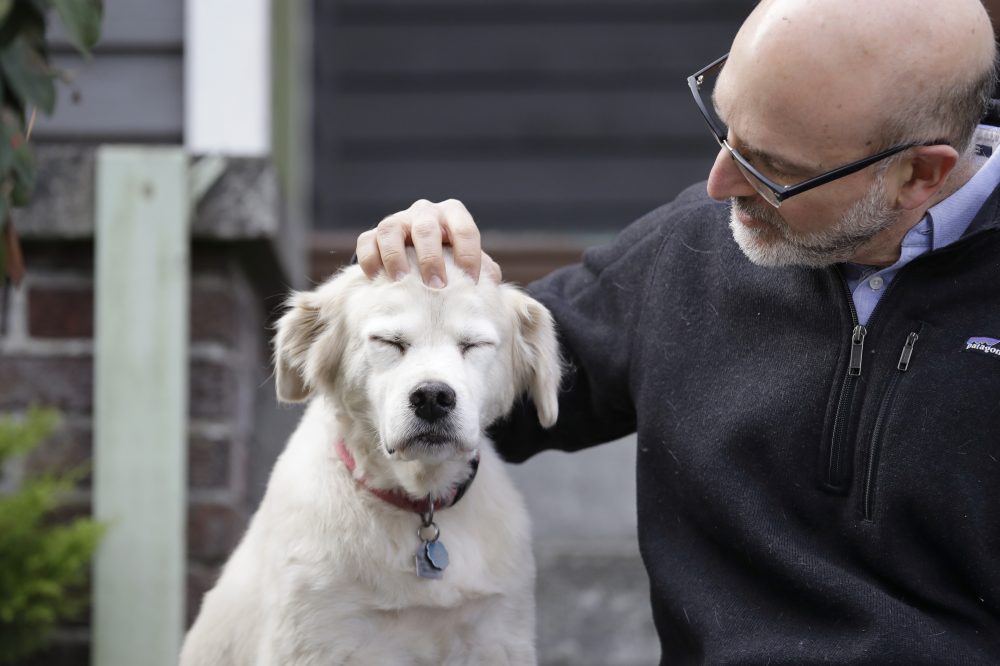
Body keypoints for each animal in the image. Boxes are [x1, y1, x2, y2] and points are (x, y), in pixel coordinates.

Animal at [180, 255, 560, 664]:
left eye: (474, 345)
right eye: (389, 342)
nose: (432, 397)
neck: (418, 501)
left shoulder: (497, 635)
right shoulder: (317, 639)